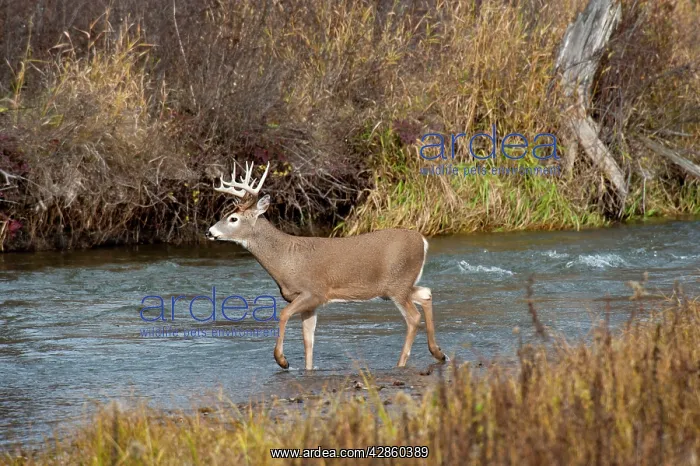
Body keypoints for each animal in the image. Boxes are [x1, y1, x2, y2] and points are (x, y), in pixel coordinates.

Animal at [206, 161, 447, 370]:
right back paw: (438, 353)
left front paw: (282, 360)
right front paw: (307, 368)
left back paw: (401, 363)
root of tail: (422, 240)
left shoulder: (314, 292)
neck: (285, 259)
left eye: (233, 218)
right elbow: (308, 340)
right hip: (397, 286)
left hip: (397, 284)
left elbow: (283, 314)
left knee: (413, 317)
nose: (209, 232)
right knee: (426, 293)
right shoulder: (309, 304)